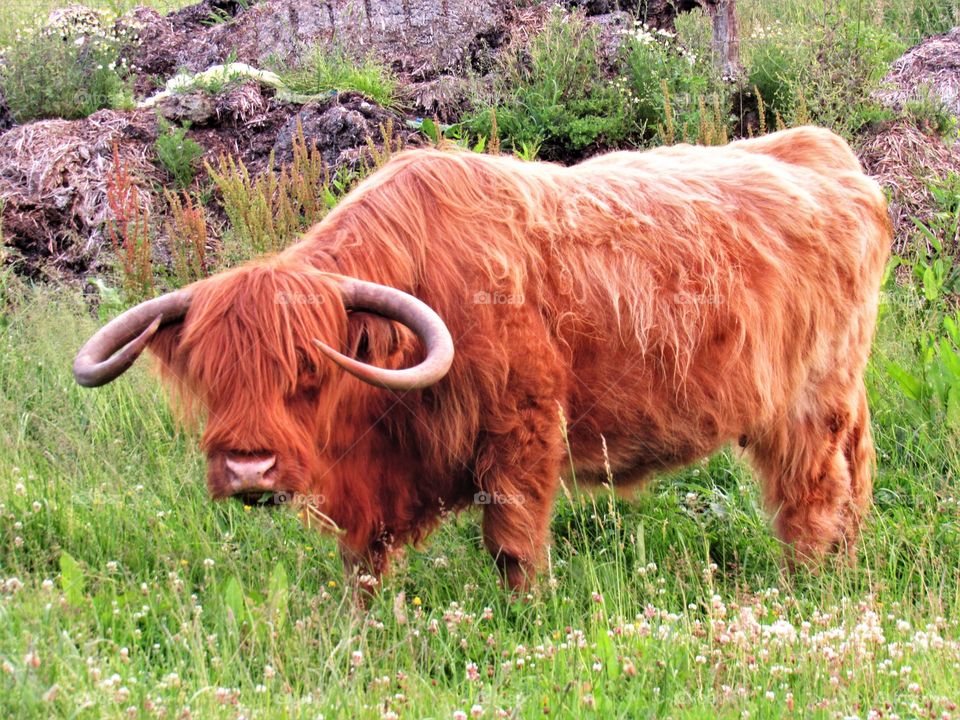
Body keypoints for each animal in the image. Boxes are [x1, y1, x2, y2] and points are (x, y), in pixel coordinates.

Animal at [74, 126, 891, 592]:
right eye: (212, 379)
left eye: (309, 374)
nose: (248, 468)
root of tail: (829, 154)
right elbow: (363, 562)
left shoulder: (521, 431)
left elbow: (513, 545)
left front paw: (524, 616)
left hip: (812, 401)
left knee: (815, 493)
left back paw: (809, 585)